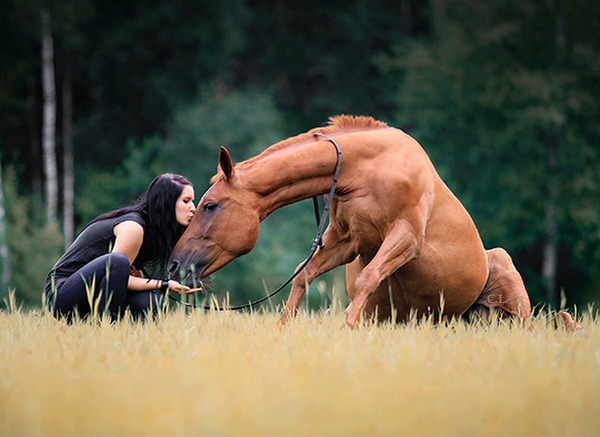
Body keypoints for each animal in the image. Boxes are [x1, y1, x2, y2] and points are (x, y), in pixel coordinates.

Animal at [168, 116, 536, 328]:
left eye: (210, 205)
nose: (174, 265)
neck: (364, 169)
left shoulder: (406, 236)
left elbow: (367, 277)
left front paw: (348, 327)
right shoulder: (345, 241)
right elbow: (303, 275)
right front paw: (283, 329)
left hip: (510, 294)